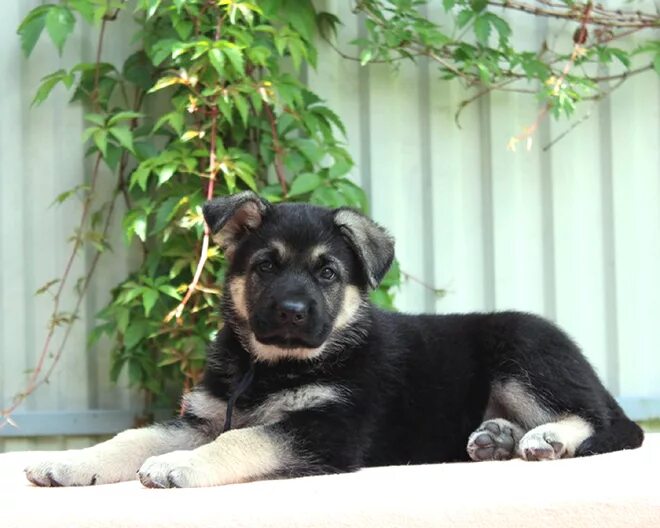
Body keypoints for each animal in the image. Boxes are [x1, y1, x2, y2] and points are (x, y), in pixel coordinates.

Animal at [27, 192, 644, 488]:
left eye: (327, 273)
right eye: (265, 266)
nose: (292, 312)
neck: (270, 365)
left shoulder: (329, 428)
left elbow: (241, 440)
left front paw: (178, 466)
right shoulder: (200, 418)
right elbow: (131, 439)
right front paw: (69, 463)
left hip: (523, 350)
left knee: (604, 421)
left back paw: (547, 438)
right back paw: (496, 437)